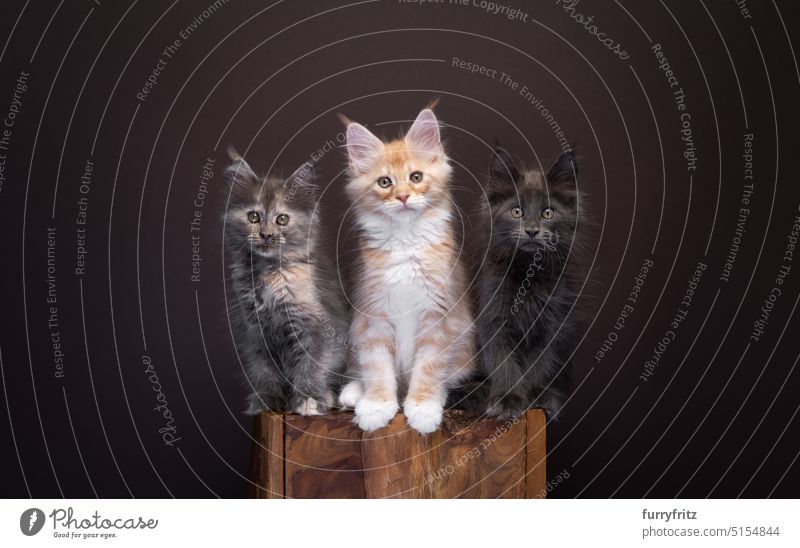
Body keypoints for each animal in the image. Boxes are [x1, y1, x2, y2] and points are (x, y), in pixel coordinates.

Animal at [225, 151, 350, 416]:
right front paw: (268, 400)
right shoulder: (255, 331)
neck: (270, 274)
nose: (267, 235)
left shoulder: (316, 327)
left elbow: (311, 367)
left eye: (282, 219)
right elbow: (263, 370)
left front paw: (307, 400)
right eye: (253, 217)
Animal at [338, 107, 476, 432]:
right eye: (384, 183)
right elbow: (377, 367)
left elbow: (429, 367)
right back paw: (353, 393)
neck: (405, 240)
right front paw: (376, 405)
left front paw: (423, 408)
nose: (402, 196)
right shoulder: (372, 314)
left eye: (416, 177)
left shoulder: (438, 316)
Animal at [476, 146, 588, 420]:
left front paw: (538, 396)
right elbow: (502, 360)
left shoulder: (553, 321)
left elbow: (540, 362)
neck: (529, 274)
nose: (532, 230)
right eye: (517, 212)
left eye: (547, 213)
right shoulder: (493, 315)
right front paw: (507, 400)